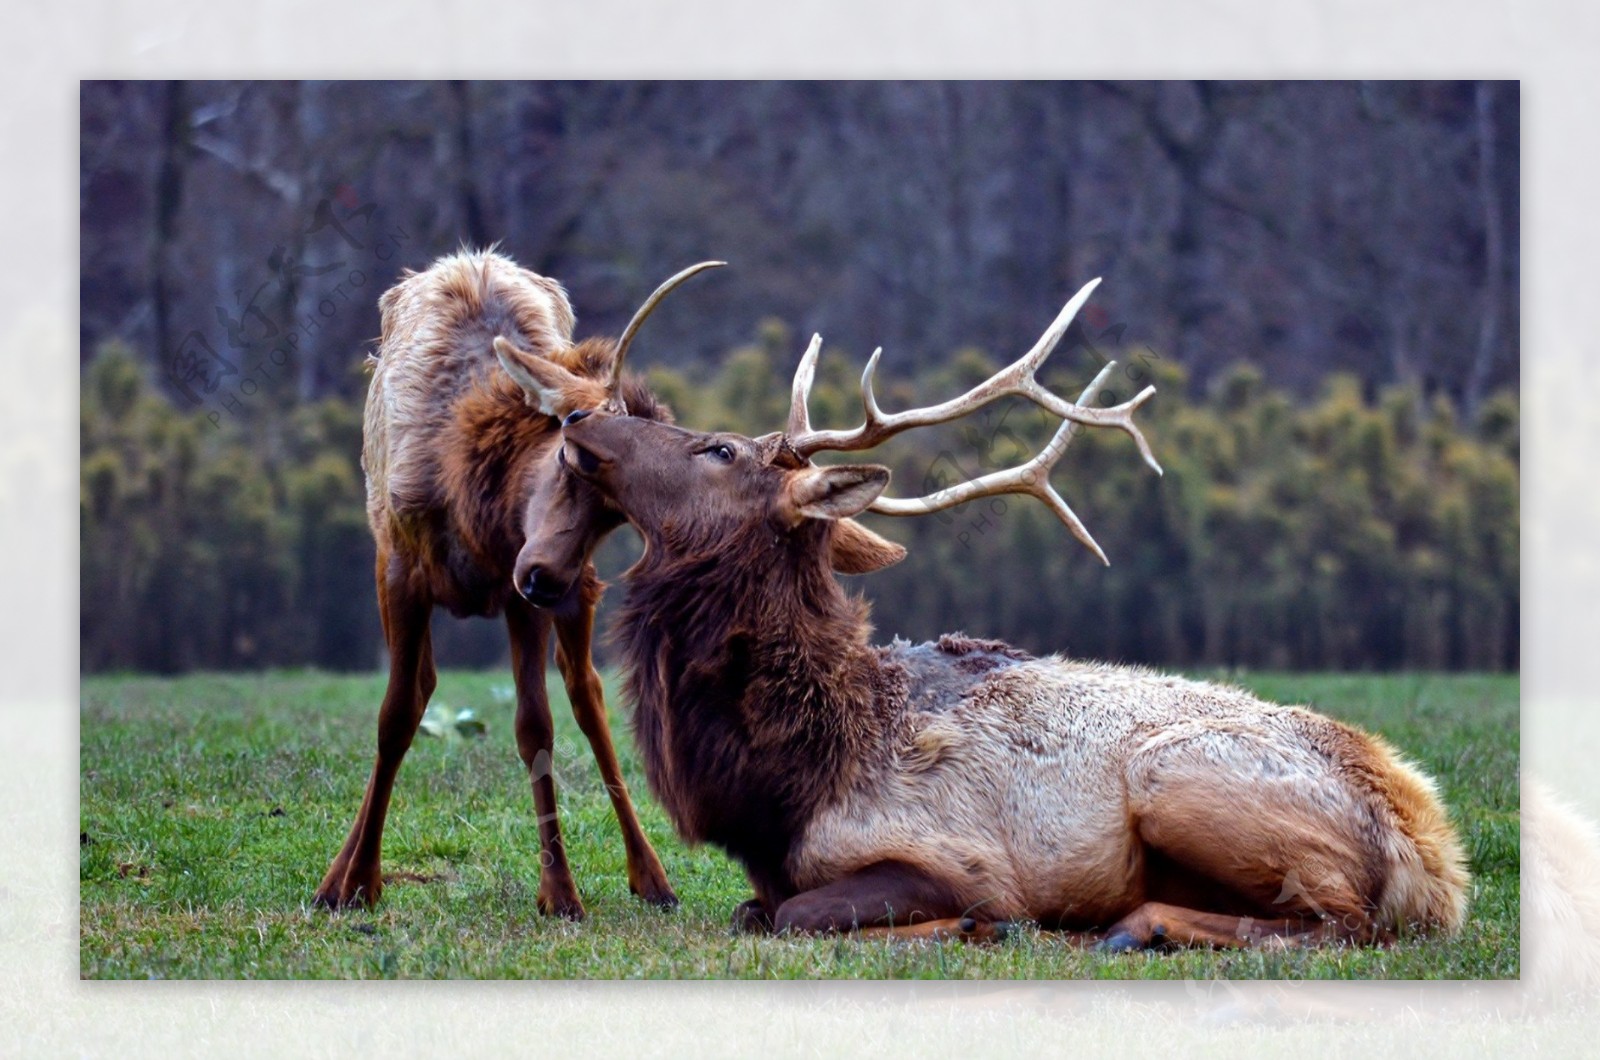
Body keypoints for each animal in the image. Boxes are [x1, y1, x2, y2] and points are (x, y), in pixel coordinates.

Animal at [528, 280, 1472, 947]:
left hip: (1179, 779)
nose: (580, 421)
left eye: (718, 448)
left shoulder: (951, 853)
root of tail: (1438, 863)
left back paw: (1135, 927)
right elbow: (752, 912)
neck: (782, 783)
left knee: (1344, 921)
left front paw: (983, 923)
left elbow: (799, 917)